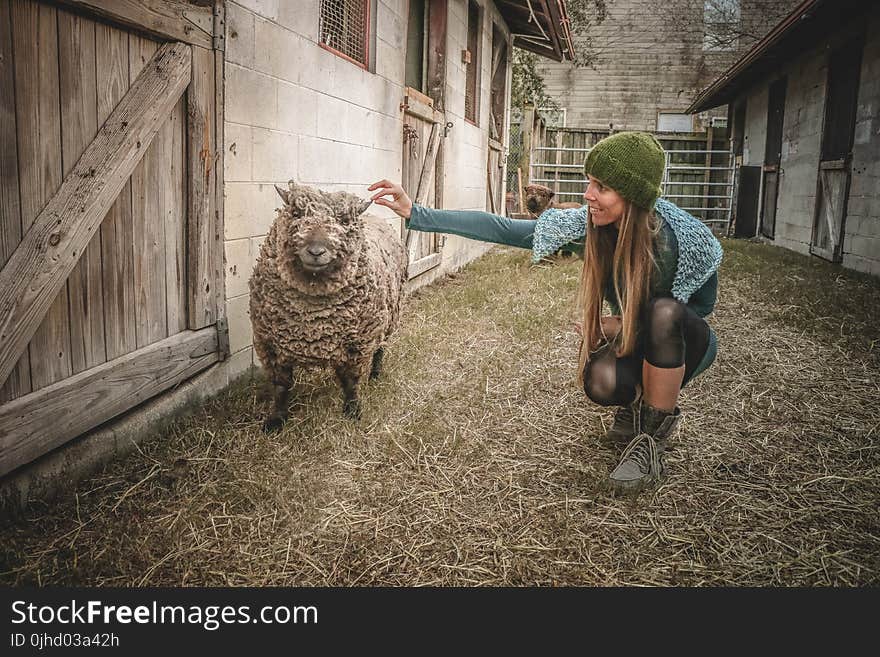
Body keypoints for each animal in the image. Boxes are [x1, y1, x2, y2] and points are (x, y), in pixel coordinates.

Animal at [249, 182, 408, 428]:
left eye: (343, 221)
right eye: (296, 214)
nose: (316, 251)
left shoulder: (358, 344)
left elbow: (352, 382)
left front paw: (353, 411)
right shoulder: (269, 345)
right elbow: (281, 386)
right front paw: (276, 419)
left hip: (390, 316)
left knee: (381, 348)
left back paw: (375, 374)